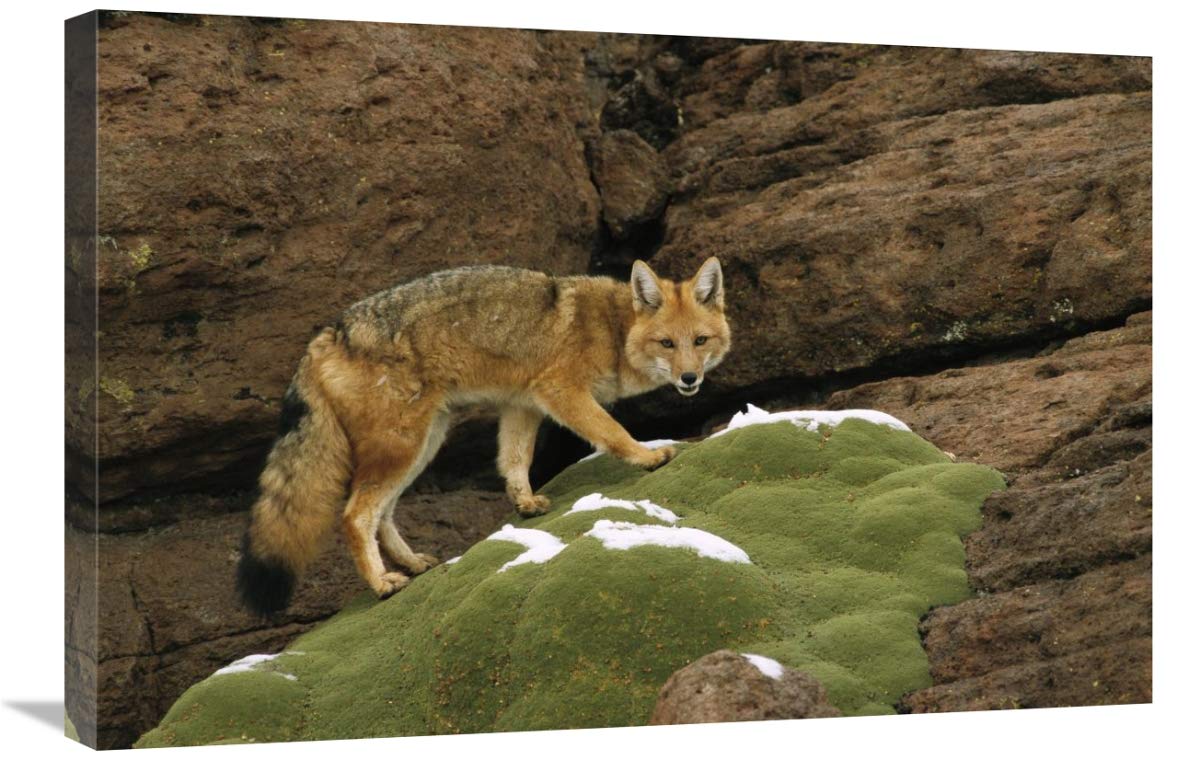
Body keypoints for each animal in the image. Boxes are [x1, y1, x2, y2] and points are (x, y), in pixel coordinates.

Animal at [236, 257, 730, 615]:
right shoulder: (561, 391)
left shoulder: (523, 403)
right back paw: (382, 584)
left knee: (383, 514)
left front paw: (525, 503)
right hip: (404, 445)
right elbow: (611, 431)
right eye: (667, 344)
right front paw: (646, 456)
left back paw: (411, 564)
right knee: (355, 516)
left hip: (421, 444)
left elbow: (514, 460)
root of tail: (326, 335)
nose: (689, 379)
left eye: (700, 341)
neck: (612, 326)